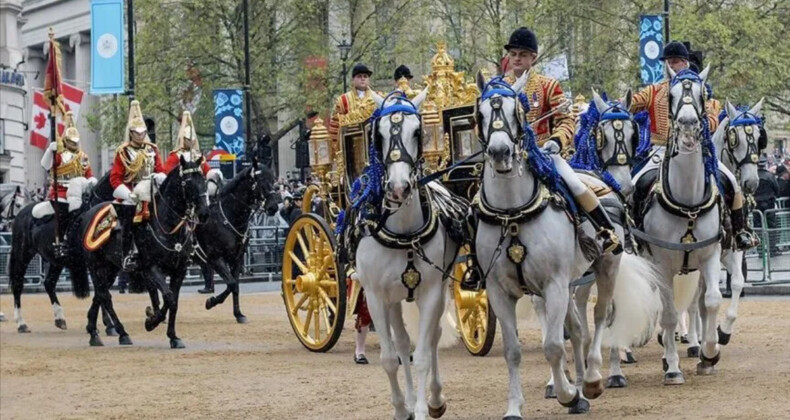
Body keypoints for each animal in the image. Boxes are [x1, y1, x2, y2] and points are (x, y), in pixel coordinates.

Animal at [71, 158, 209, 348]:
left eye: (203, 180)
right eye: (187, 182)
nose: (204, 213)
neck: (167, 226)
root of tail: (87, 213)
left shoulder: (179, 270)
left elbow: (173, 301)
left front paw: (173, 336)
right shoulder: (151, 268)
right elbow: (168, 297)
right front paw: (151, 322)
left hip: (111, 268)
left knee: (100, 294)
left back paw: (93, 331)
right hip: (95, 265)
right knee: (105, 295)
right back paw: (122, 333)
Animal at [196, 158, 280, 322]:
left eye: (273, 180)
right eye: (260, 181)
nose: (273, 207)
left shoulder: (236, 258)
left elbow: (235, 286)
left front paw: (238, 314)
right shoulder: (216, 258)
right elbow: (232, 284)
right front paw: (211, 302)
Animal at [354, 89, 458, 420]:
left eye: (417, 132)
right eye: (379, 135)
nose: (399, 188)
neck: (402, 232)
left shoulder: (431, 292)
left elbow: (423, 354)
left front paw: (425, 408)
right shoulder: (376, 296)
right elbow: (390, 358)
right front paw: (403, 408)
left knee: (433, 336)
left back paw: (433, 398)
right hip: (393, 299)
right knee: (400, 343)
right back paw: (410, 401)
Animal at [474, 74, 660, 418]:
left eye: (516, 111)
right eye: (480, 113)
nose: (500, 152)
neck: (513, 213)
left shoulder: (555, 284)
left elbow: (553, 345)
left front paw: (569, 394)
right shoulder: (499, 290)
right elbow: (513, 350)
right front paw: (515, 407)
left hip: (605, 267)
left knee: (600, 316)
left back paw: (594, 378)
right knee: (576, 326)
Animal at [636, 66, 728, 384]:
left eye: (702, 94)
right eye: (671, 95)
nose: (688, 125)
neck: (687, 203)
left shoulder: (710, 255)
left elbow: (711, 301)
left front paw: (709, 354)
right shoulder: (662, 264)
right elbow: (669, 313)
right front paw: (673, 368)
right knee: (667, 308)